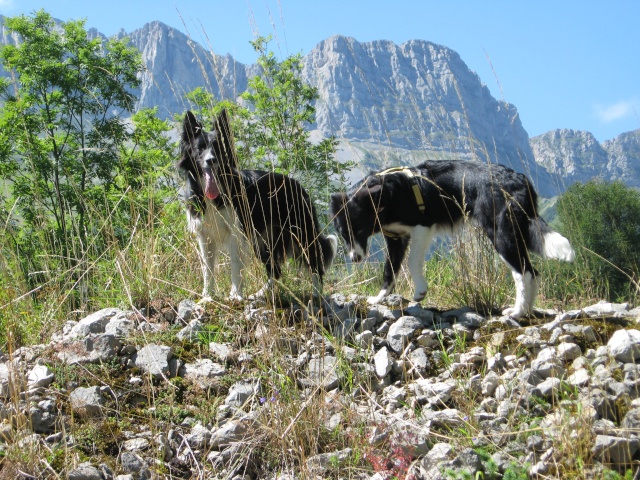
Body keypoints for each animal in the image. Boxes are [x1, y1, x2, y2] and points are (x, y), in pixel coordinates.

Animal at [179, 110, 338, 300]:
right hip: (264, 240)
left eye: (217, 148)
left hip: (301, 231)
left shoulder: (236, 232)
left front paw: (235, 295)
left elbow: (235, 266)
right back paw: (260, 294)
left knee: (314, 263)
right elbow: (207, 268)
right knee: (275, 271)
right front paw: (207, 295)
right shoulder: (205, 234)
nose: (211, 160)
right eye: (200, 149)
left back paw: (317, 295)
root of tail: (296, 184)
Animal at [330, 161, 576, 318]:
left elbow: (412, 263)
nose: (354, 258)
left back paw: (516, 312)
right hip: (517, 233)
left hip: (501, 233)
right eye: (342, 233)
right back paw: (527, 311)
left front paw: (420, 291)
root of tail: (520, 179)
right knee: (533, 272)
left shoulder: (422, 227)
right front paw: (379, 298)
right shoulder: (396, 238)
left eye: (359, 228)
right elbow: (389, 270)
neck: (385, 196)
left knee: (523, 272)